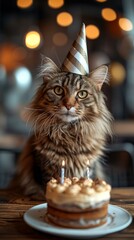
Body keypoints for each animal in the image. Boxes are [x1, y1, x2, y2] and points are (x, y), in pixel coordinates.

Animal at [13, 57, 112, 198]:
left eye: (82, 94)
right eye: (58, 90)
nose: (68, 105)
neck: (68, 132)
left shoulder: (89, 167)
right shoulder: (44, 167)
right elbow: (46, 186)